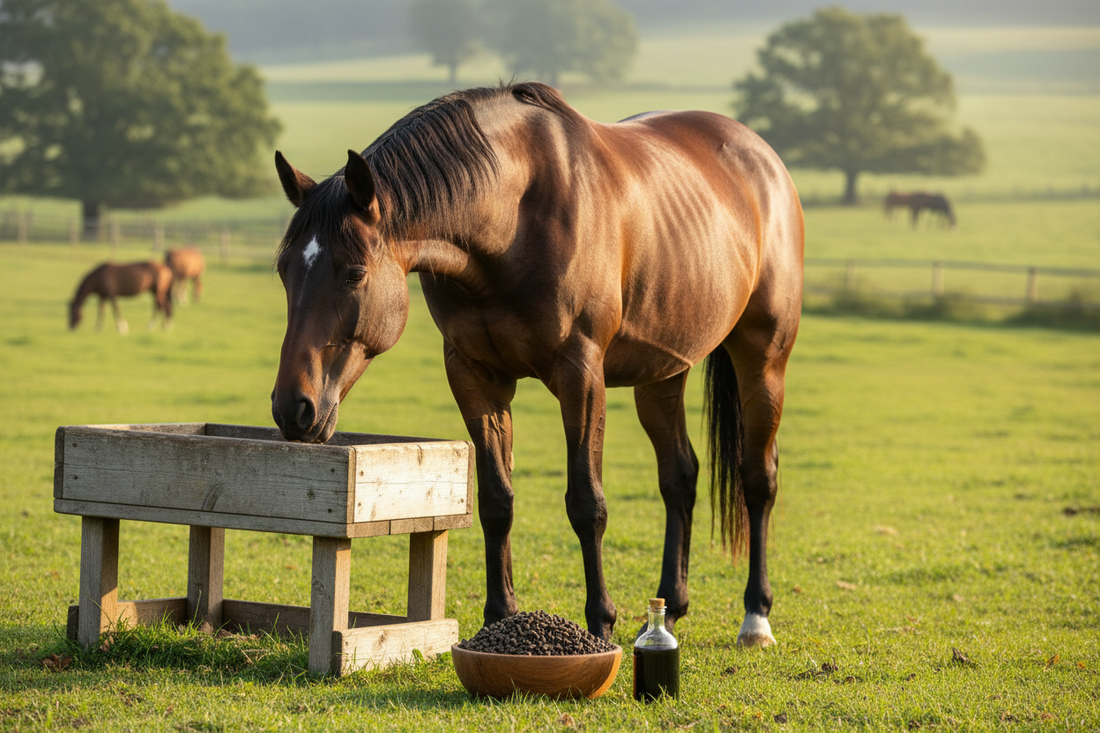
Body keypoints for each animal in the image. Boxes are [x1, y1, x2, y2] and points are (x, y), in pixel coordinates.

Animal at [269, 82, 804, 647]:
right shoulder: (475, 376)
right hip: (663, 372)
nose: (293, 408)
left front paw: (600, 624)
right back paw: (669, 610)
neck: (513, 219)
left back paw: (755, 618)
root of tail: (760, 155)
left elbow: (587, 504)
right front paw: (499, 618)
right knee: (680, 476)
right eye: (284, 270)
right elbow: (496, 500)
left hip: (763, 360)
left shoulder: (581, 376)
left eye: (354, 273)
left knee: (758, 478)